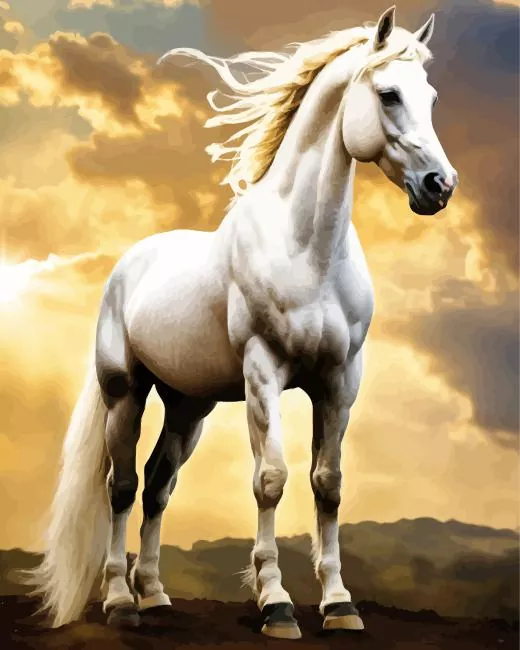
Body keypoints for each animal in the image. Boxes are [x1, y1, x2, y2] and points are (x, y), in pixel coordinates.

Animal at [24, 6, 458, 640]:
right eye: (388, 94)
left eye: (429, 95)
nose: (440, 187)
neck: (307, 250)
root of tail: (128, 266)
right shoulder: (264, 374)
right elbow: (270, 479)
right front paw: (276, 604)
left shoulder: (339, 382)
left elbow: (328, 483)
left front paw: (339, 605)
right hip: (125, 393)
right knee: (123, 486)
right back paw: (120, 602)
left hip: (189, 405)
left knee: (158, 485)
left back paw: (155, 596)